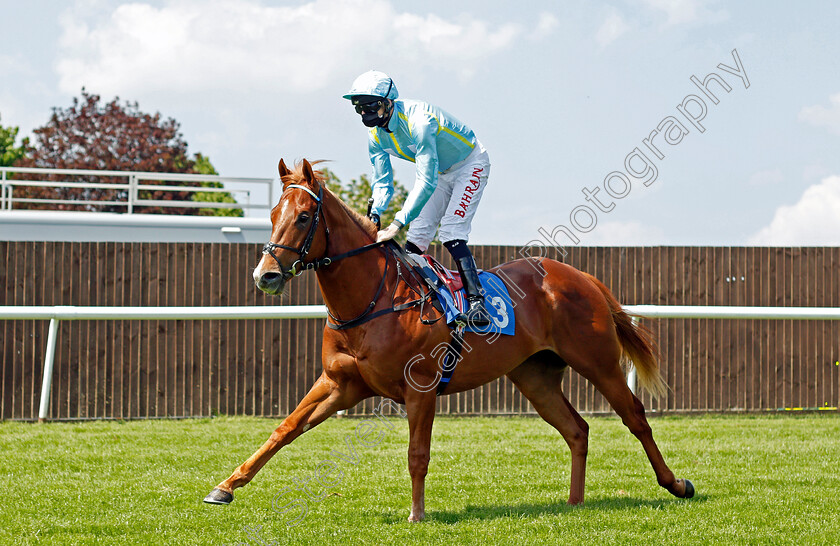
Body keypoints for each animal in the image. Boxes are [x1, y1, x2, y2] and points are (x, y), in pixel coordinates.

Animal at [200, 158, 692, 520]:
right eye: (272, 215)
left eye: (304, 216)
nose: (265, 276)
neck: (373, 301)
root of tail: (580, 276)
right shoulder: (340, 385)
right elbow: (284, 429)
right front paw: (226, 486)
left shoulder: (419, 389)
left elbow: (418, 453)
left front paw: (417, 515)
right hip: (534, 377)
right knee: (577, 428)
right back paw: (573, 503)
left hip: (599, 362)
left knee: (635, 417)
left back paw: (676, 483)